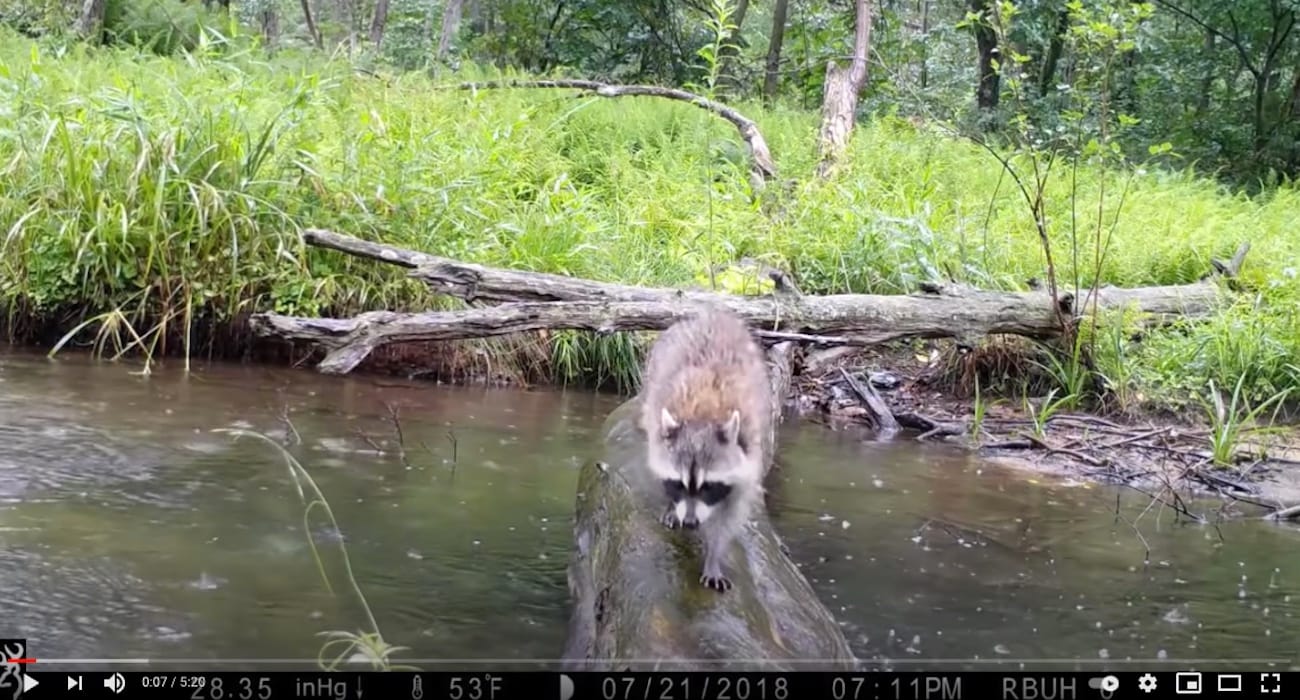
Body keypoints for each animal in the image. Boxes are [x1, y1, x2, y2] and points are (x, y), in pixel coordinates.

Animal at [639, 304, 769, 588]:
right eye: (678, 483)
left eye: (708, 486)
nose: (689, 522)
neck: (704, 416)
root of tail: (712, 313)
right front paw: (672, 506)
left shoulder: (749, 456)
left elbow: (728, 517)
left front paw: (714, 557)